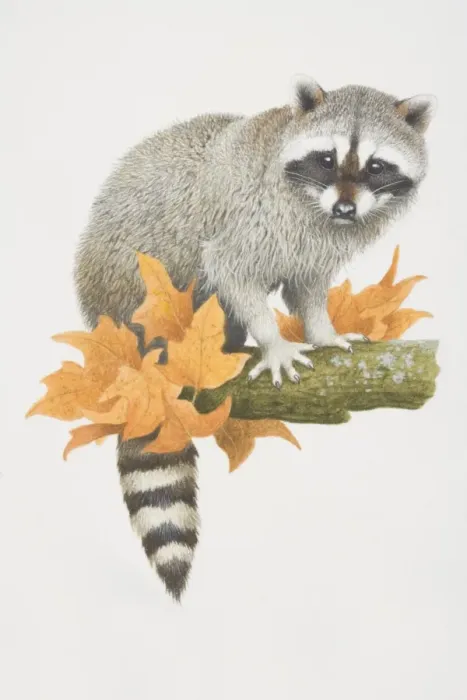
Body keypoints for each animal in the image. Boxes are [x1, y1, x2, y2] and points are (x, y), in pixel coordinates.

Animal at [75, 76, 435, 599]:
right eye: (327, 158)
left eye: (375, 165)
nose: (345, 207)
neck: (318, 208)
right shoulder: (251, 218)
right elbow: (232, 270)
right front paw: (274, 341)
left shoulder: (317, 244)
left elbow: (308, 286)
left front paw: (322, 330)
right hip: (131, 276)